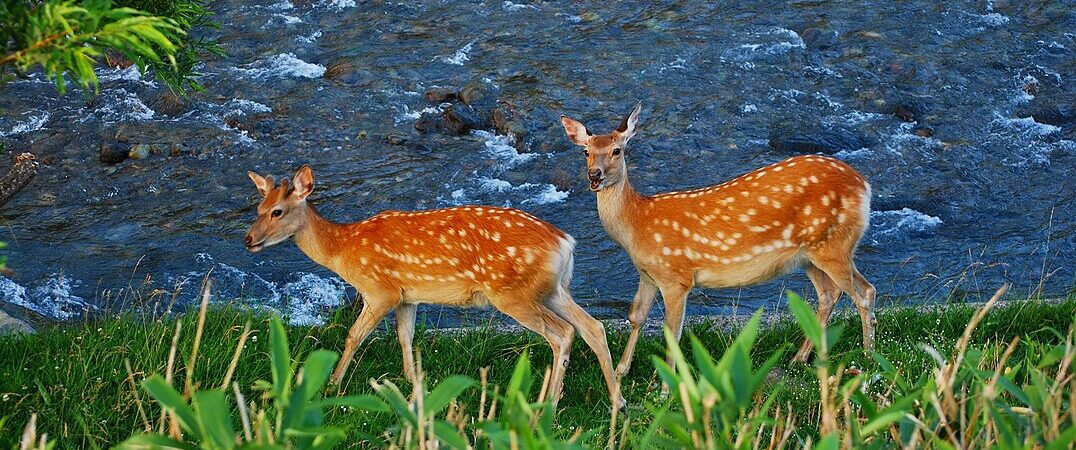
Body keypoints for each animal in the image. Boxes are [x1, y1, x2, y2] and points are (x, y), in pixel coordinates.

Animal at [244, 165, 624, 411]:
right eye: (258, 207)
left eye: (277, 211)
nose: (248, 239)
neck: (343, 248)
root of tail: (565, 243)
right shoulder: (406, 296)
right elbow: (405, 336)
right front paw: (413, 385)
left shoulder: (379, 289)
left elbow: (354, 335)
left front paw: (333, 384)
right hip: (552, 289)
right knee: (592, 326)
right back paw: (616, 401)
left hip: (512, 293)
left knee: (562, 333)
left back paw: (546, 404)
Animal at [559, 102, 878, 376]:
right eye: (586, 152)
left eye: (617, 150)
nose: (595, 175)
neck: (638, 224)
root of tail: (864, 184)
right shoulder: (648, 273)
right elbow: (635, 316)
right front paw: (621, 371)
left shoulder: (677, 277)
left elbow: (672, 330)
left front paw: (666, 386)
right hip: (811, 254)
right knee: (832, 294)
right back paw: (800, 358)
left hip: (832, 245)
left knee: (863, 292)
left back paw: (867, 355)